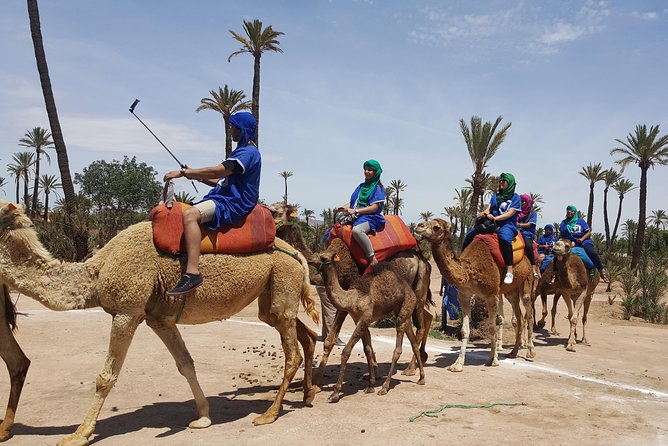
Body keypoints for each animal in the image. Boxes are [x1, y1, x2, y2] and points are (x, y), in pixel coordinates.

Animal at [0, 200, 319, 446]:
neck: (98, 271)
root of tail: (298, 255)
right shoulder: (158, 319)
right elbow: (185, 364)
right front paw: (203, 417)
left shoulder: (127, 312)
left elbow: (106, 377)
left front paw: (79, 434)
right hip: (270, 296)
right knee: (300, 333)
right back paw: (306, 395)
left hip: (283, 281)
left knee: (292, 354)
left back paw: (269, 414)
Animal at [315, 250, 425, 402]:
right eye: (320, 255)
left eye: (324, 257)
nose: (312, 260)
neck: (352, 298)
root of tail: (409, 289)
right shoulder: (359, 319)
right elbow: (367, 349)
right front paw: (370, 385)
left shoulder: (365, 318)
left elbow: (346, 351)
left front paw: (335, 393)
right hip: (403, 312)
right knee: (413, 342)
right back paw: (421, 378)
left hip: (406, 306)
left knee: (398, 348)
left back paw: (385, 387)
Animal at [414, 219, 535, 371]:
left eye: (436, 227)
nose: (418, 227)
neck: (469, 271)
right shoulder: (464, 295)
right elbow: (465, 330)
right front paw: (458, 364)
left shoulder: (492, 294)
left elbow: (492, 327)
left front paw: (494, 360)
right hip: (510, 291)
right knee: (519, 318)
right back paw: (513, 352)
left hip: (527, 279)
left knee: (528, 313)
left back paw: (530, 352)